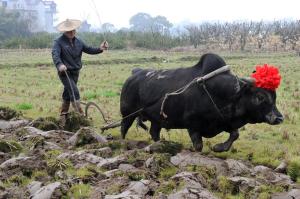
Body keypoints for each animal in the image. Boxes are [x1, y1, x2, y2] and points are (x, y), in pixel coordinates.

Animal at [119, 53, 284, 152]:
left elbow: (235, 134)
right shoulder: (192, 126)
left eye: (274, 96)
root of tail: (135, 73)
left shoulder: (225, 122)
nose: (279, 118)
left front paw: (218, 147)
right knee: (123, 129)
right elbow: (198, 146)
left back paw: (160, 145)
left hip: (156, 119)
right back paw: (122, 145)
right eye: (260, 96)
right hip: (127, 113)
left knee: (154, 132)